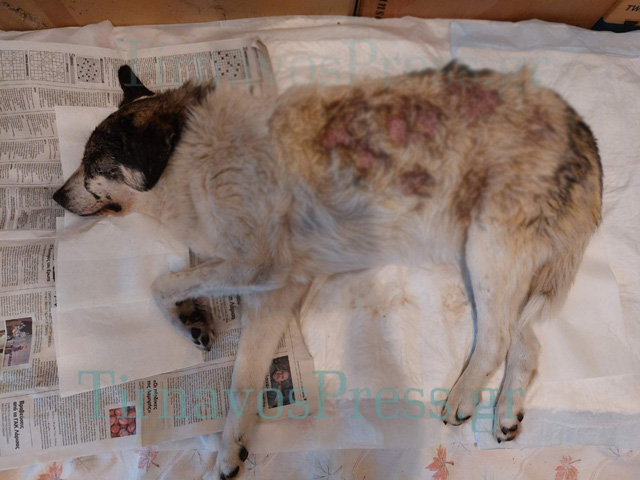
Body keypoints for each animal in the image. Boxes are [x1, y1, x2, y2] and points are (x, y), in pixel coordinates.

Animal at [53, 63, 602, 479]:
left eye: (93, 163)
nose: (54, 196)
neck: (192, 155)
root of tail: (578, 124)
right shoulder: (274, 291)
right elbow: (242, 379)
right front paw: (231, 447)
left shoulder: (258, 265)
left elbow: (160, 282)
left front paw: (185, 309)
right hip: (491, 262)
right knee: (526, 340)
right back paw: (506, 413)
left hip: (487, 251)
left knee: (496, 339)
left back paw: (465, 396)